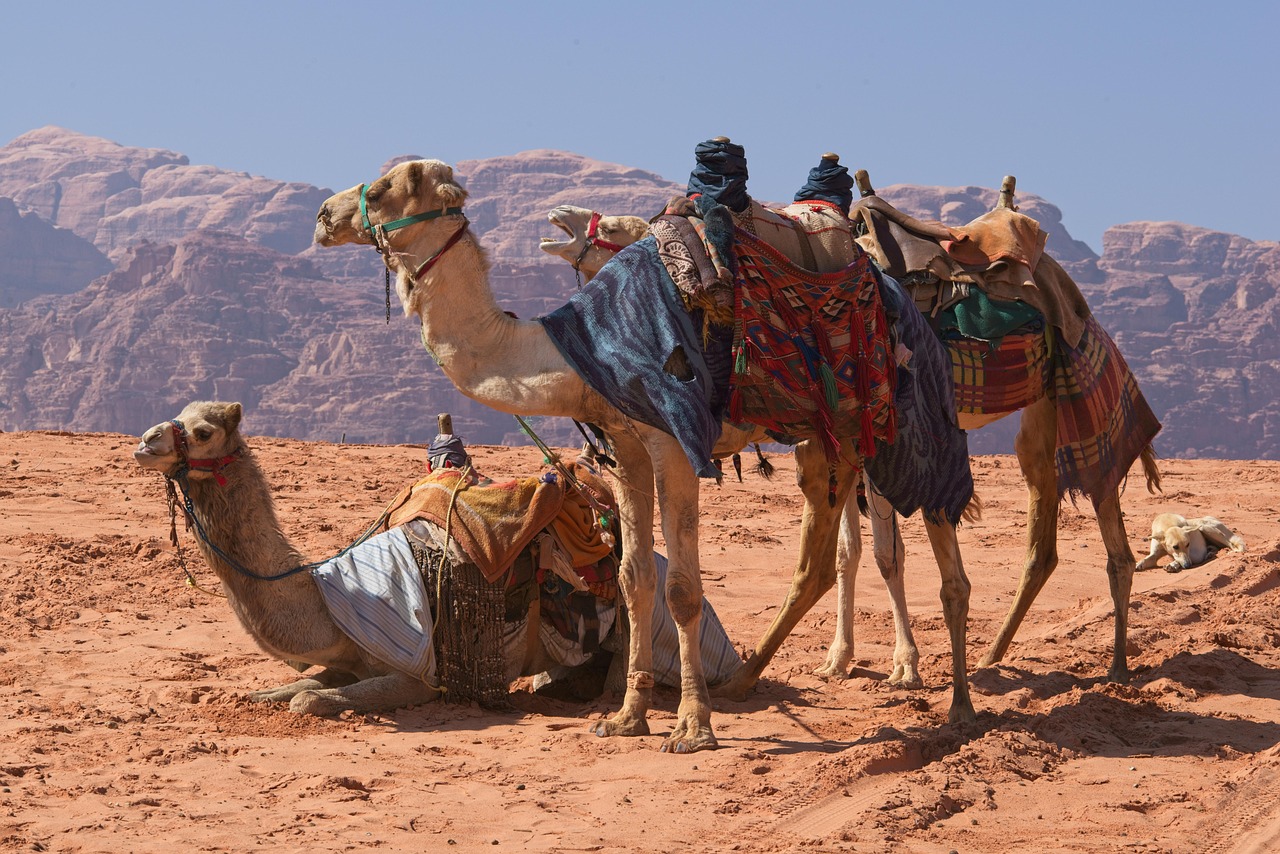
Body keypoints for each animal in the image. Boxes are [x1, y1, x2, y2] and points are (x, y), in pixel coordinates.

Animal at [313, 158, 975, 752]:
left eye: (386, 185)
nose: (324, 215)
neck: (576, 350)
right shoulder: (626, 446)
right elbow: (634, 578)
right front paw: (627, 717)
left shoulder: (673, 442)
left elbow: (681, 588)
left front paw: (691, 727)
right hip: (827, 441)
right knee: (821, 558)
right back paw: (748, 680)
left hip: (909, 426)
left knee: (940, 552)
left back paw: (959, 708)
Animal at [539, 193, 1162, 683]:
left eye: (614, 226)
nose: (559, 217)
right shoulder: (850, 445)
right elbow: (852, 555)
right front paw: (840, 659)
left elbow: (884, 554)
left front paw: (905, 664)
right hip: (1037, 417)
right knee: (1050, 535)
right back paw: (996, 654)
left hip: (1066, 395)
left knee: (1100, 519)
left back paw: (1112, 665)